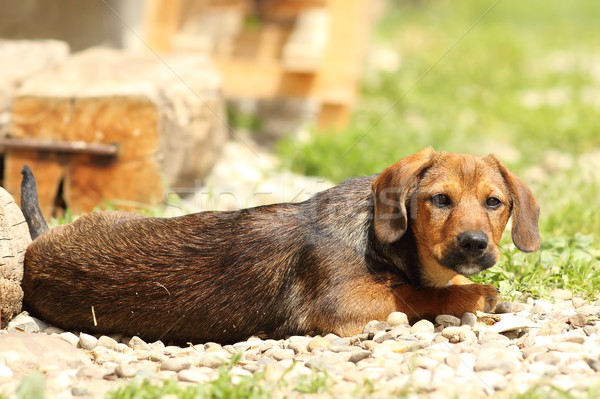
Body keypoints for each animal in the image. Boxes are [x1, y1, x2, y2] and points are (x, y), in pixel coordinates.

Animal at [18, 148, 540, 346]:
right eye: (440, 199)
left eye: (494, 202)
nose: (474, 244)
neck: (376, 237)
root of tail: (38, 247)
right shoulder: (346, 306)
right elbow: (415, 295)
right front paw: (476, 295)